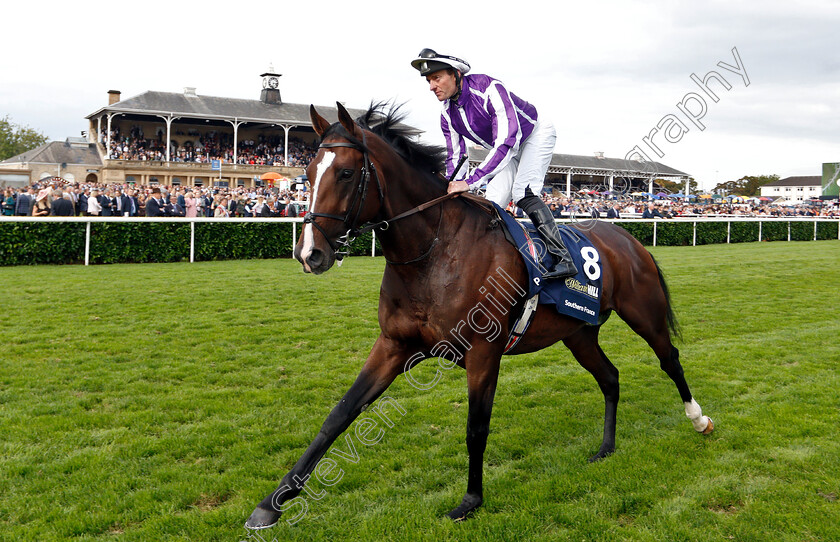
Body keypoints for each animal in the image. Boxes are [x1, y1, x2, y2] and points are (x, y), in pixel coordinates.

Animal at [244, 102, 716, 532]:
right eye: (307, 173)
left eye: (344, 173)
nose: (310, 253)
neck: (433, 251)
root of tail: (628, 238)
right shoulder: (393, 344)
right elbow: (339, 415)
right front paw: (272, 504)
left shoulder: (483, 351)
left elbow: (476, 427)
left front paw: (470, 500)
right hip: (578, 333)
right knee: (611, 377)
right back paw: (605, 448)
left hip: (644, 312)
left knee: (669, 358)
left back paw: (699, 419)